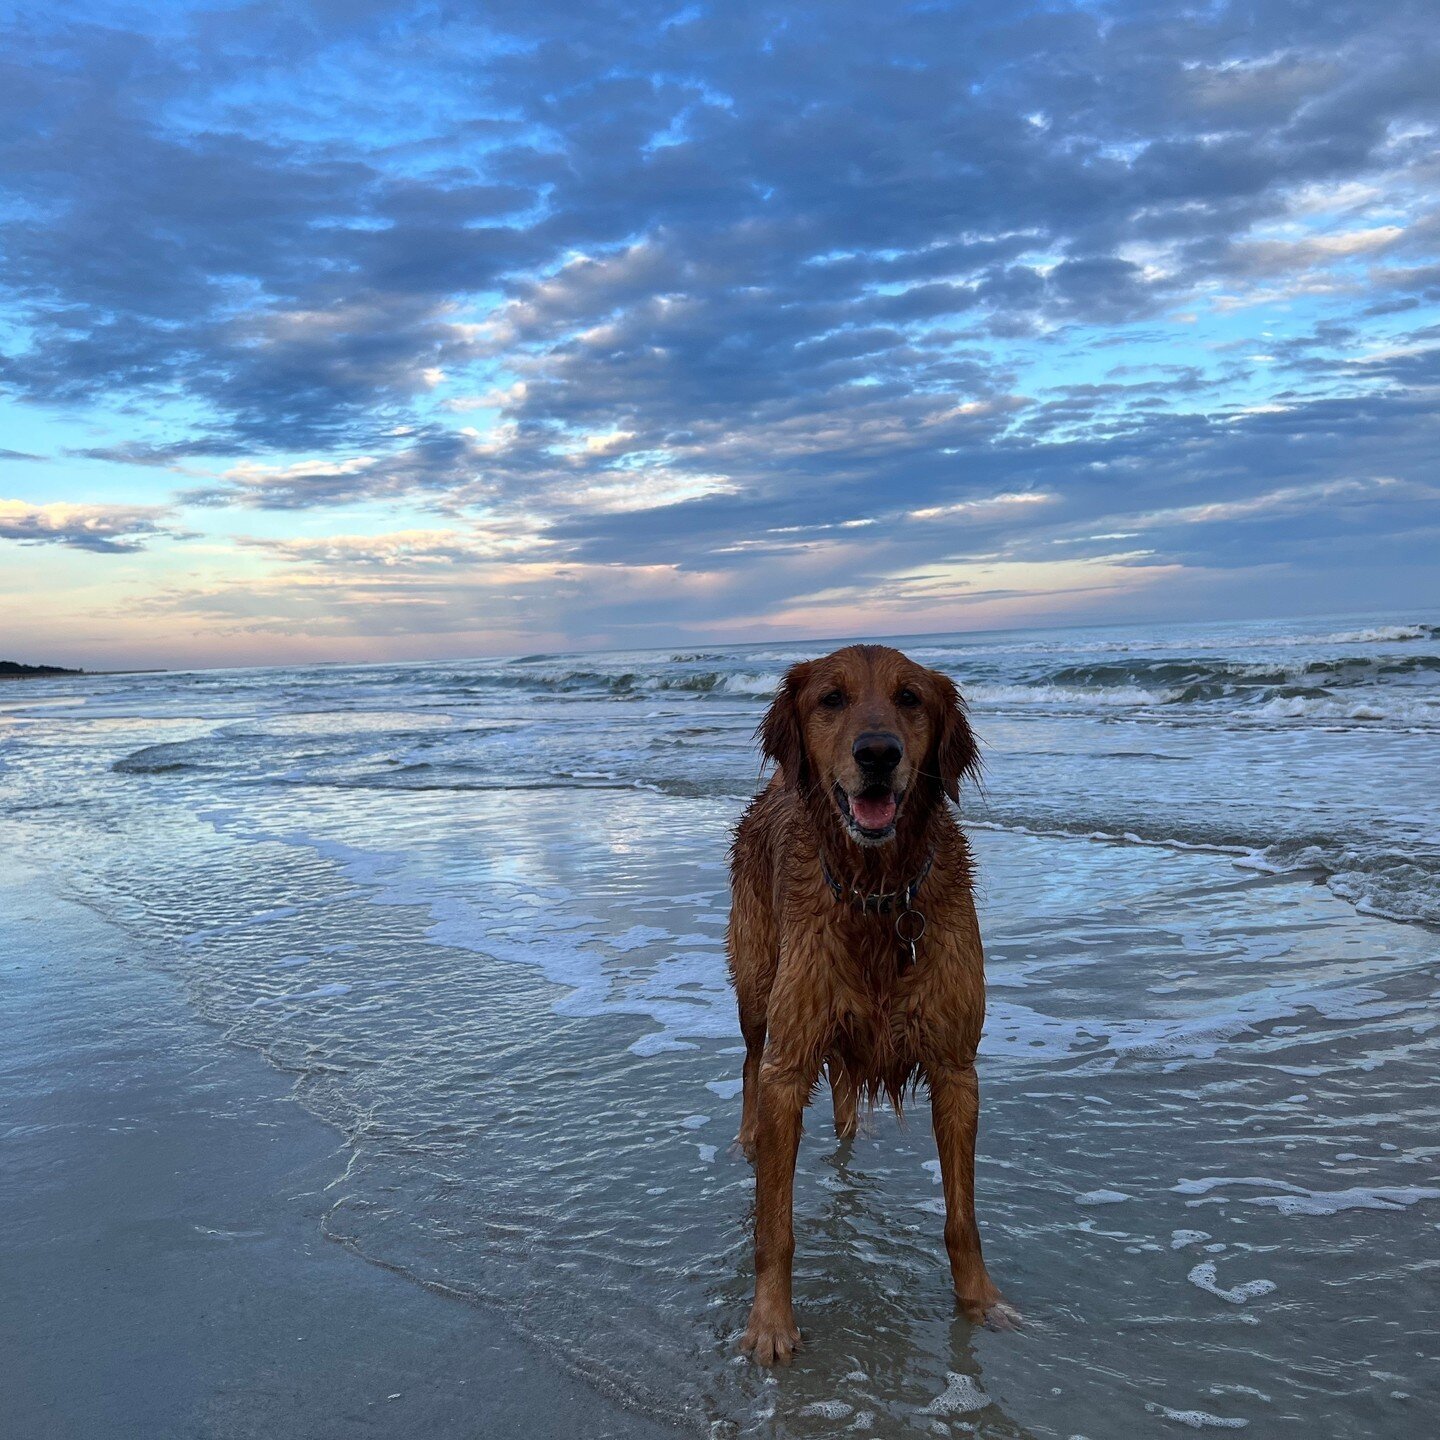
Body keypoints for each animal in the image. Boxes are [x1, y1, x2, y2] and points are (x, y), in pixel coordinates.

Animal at [720, 642, 1013, 1359]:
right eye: (832, 699)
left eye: (911, 698)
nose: (877, 753)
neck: (878, 895)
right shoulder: (790, 1058)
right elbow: (775, 1228)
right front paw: (770, 1323)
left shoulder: (956, 1065)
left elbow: (962, 1218)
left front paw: (980, 1301)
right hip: (757, 982)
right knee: (748, 1060)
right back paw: (746, 1138)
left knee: (846, 1084)